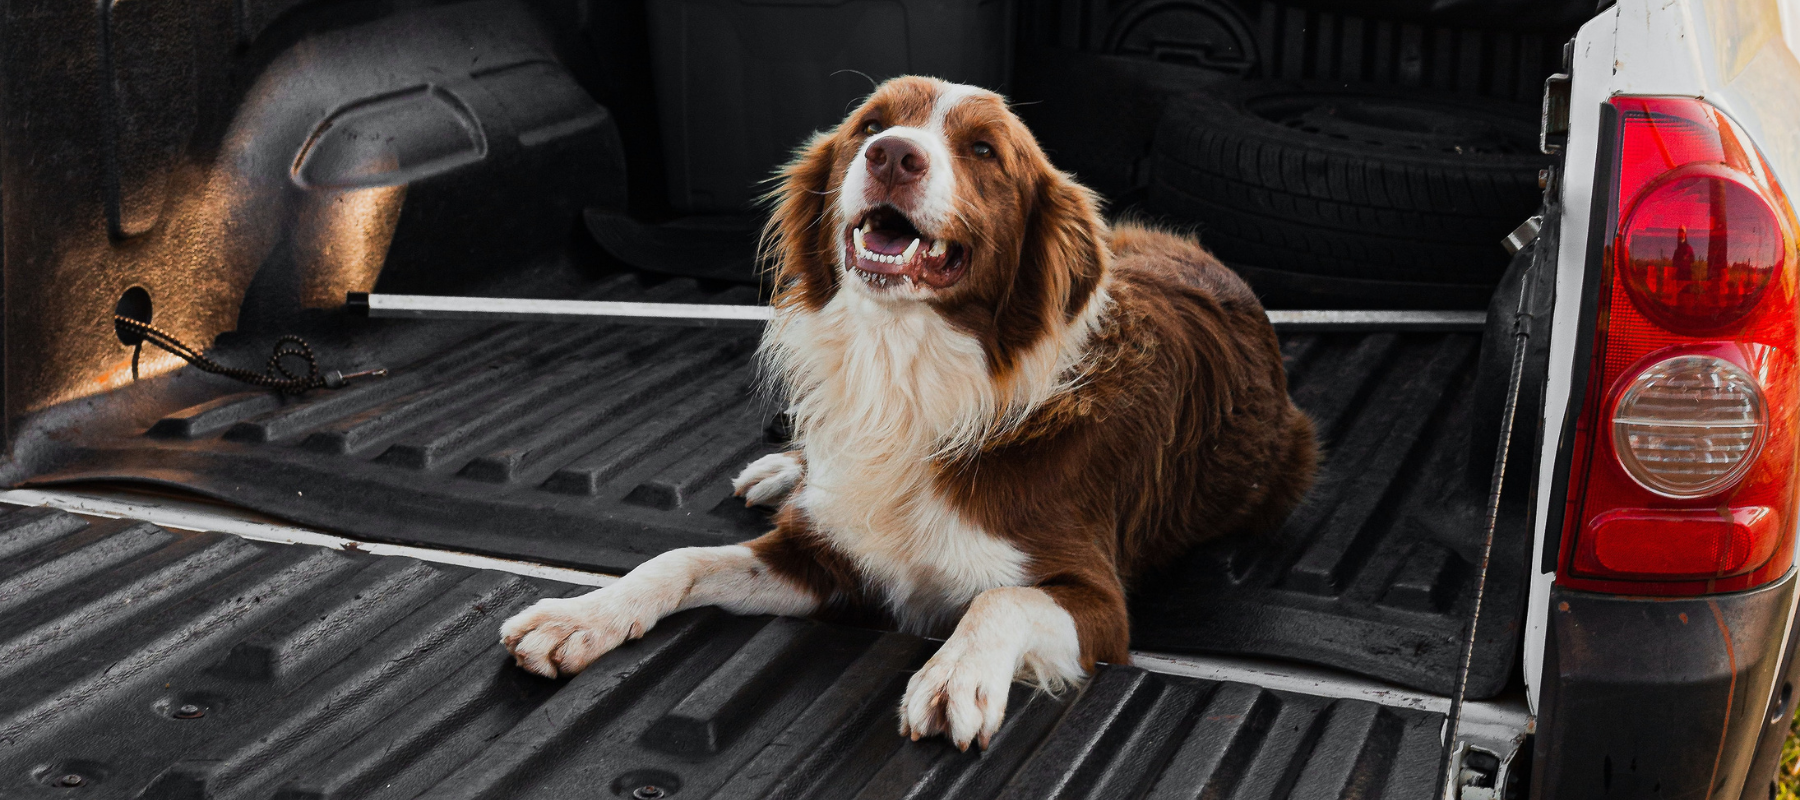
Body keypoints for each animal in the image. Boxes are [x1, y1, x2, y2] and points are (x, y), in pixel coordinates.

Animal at [500, 73, 1317, 749]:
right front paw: (584, 615)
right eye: (870, 125)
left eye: (984, 149)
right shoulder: (822, 558)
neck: (904, 368)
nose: (893, 155)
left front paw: (955, 676)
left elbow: (1001, 599)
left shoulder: (1097, 601)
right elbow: (679, 559)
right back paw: (783, 469)